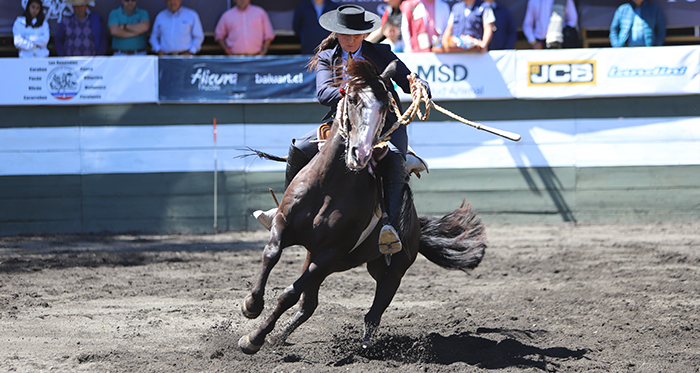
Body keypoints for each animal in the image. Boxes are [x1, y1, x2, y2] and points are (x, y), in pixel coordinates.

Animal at [238, 58, 484, 354]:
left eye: (386, 105)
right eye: (353, 99)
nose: (362, 153)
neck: (329, 186)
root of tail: (416, 226)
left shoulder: (329, 253)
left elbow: (289, 294)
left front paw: (253, 338)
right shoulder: (285, 226)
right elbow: (271, 254)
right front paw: (251, 306)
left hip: (391, 271)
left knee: (372, 312)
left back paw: (366, 344)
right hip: (322, 259)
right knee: (309, 305)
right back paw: (279, 337)